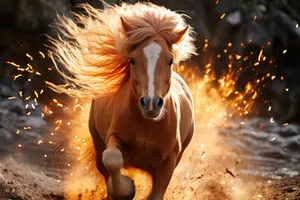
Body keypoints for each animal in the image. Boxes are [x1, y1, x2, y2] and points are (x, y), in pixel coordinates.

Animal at [48, 1, 198, 198]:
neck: (147, 125)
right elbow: (112, 158)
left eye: (170, 60)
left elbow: (156, 194)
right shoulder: (114, 137)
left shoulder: (169, 161)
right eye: (132, 60)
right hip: (97, 143)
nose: (151, 103)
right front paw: (127, 189)